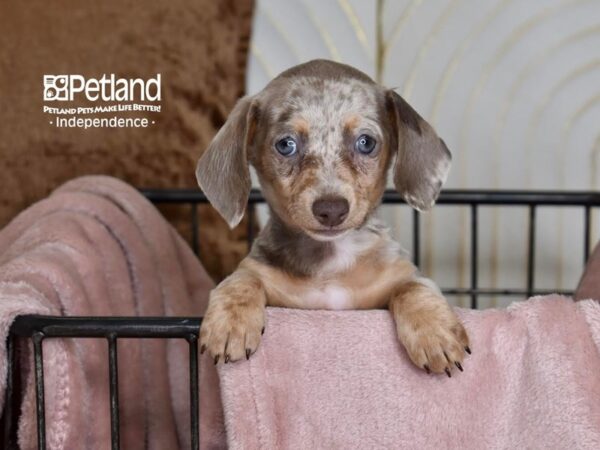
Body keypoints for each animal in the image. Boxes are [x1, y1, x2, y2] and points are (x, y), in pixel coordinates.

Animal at [196, 59, 468, 376]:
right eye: (286, 145)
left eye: (366, 142)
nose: (331, 209)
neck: (331, 261)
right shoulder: (263, 275)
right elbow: (241, 280)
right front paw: (231, 323)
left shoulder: (398, 277)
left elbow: (412, 288)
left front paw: (434, 333)